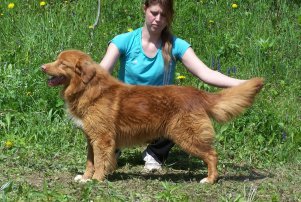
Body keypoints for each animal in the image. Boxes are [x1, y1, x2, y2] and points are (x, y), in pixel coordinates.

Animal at [41, 50, 262, 183]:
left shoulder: (102, 140)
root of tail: (197, 93)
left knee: (212, 155)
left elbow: (100, 161)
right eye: (57, 60)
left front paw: (96, 179)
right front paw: (86, 177)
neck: (88, 89)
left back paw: (210, 179)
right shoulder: (91, 139)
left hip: (187, 136)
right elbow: (90, 161)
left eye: (62, 64)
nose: (42, 67)